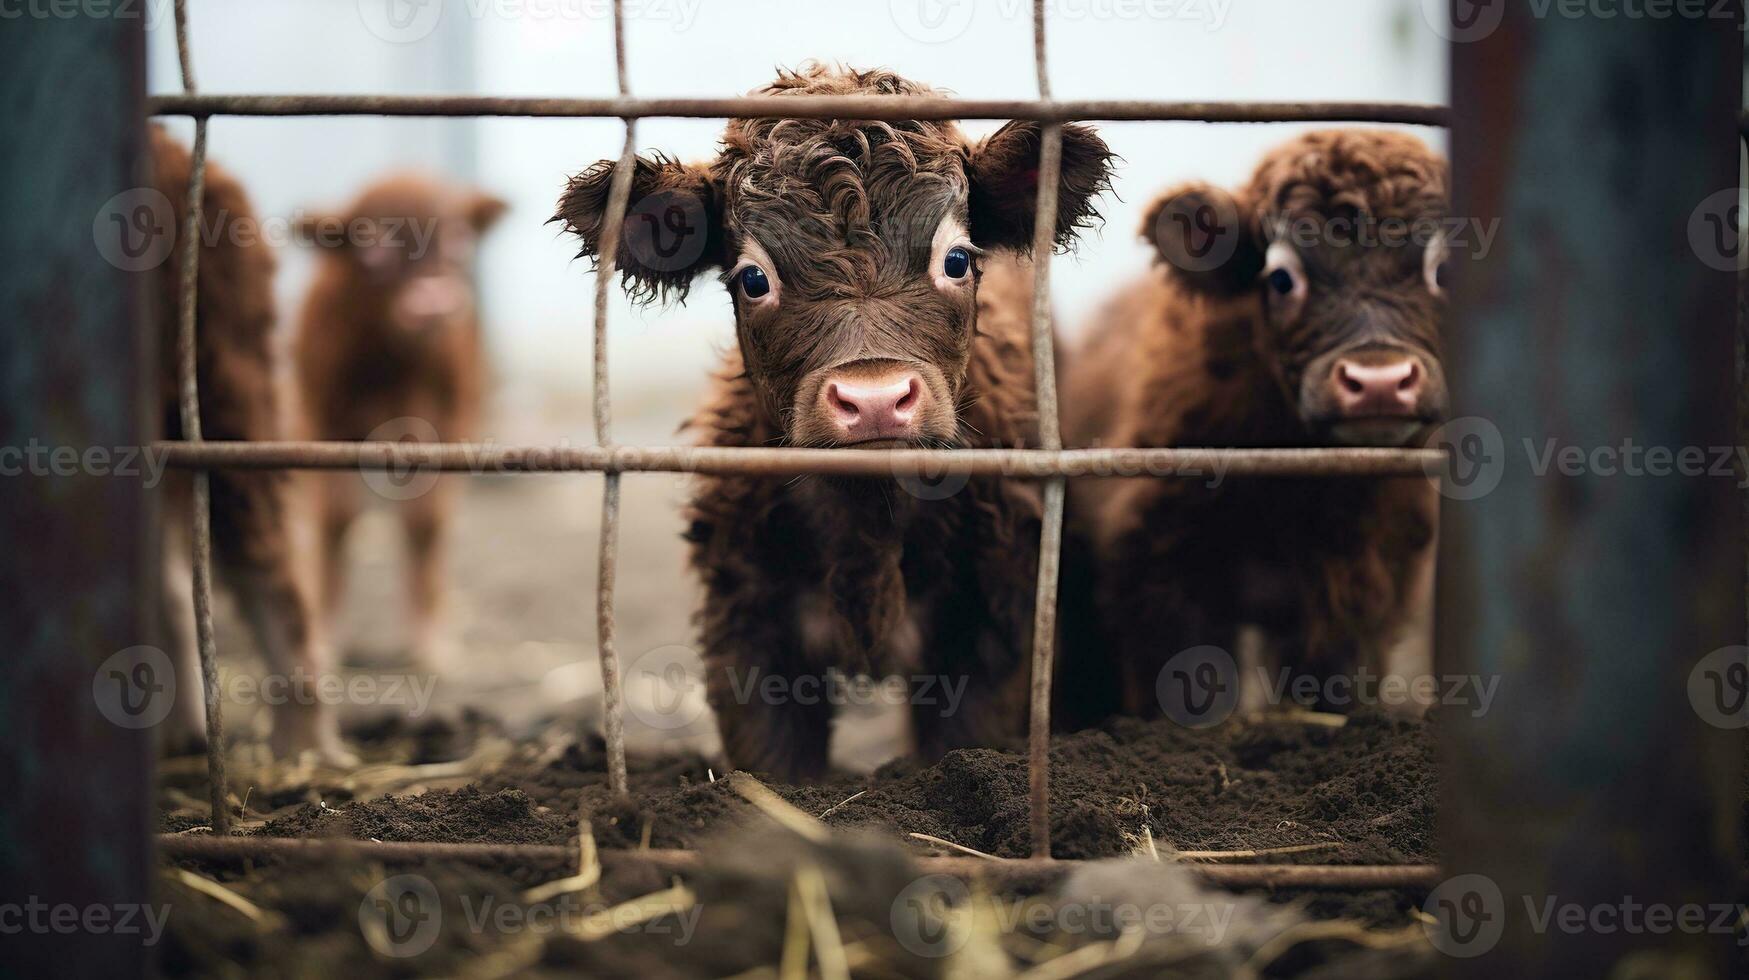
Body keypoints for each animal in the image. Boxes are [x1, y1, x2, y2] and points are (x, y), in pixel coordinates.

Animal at [293, 172, 507, 672]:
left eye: (459, 239)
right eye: (369, 245)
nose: (432, 301)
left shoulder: (448, 424)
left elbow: (424, 522)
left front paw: (429, 643)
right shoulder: (324, 420)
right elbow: (336, 518)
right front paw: (324, 639)